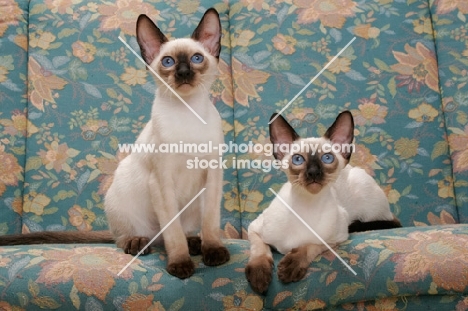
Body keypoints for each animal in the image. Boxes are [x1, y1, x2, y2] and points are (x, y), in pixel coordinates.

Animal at [0, 7, 229, 280]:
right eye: (168, 62)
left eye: (196, 59)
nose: (183, 73)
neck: (188, 112)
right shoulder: (162, 180)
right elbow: (173, 236)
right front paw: (180, 266)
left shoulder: (212, 175)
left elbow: (211, 224)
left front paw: (213, 253)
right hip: (125, 195)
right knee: (145, 238)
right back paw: (139, 243)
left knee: (177, 234)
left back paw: (195, 243)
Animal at [245, 112, 402, 294]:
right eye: (298, 159)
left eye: (327, 158)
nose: (313, 173)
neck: (307, 206)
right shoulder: (254, 228)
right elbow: (259, 251)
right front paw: (259, 277)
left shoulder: (337, 237)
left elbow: (311, 246)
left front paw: (291, 266)